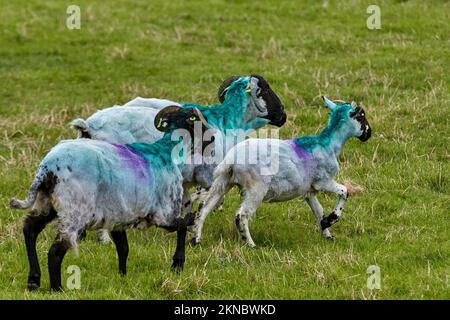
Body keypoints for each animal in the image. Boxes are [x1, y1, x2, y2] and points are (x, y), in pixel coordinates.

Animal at [8, 106, 209, 292]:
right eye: (197, 121)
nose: (211, 138)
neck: (166, 151)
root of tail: (47, 169)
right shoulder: (163, 214)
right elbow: (182, 225)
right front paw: (178, 264)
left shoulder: (118, 217)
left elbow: (123, 247)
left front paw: (123, 276)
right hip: (74, 211)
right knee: (55, 252)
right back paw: (56, 288)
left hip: (47, 203)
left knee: (30, 230)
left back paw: (33, 281)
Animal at [70, 76, 284, 244]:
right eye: (265, 89)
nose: (283, 114)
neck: (227, 123)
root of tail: (88, 126)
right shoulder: (209, 175)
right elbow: (210, 201)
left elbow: (187, 202)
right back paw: (104, 238)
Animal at [188, 96, 370, 246]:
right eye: (361, 116)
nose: (369, 133)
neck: (329, 145)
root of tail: (231, 159)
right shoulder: (323, 181)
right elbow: (344, 192)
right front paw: (332, 219)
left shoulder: (309, 190)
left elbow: (318, 210)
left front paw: (326, 231)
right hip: (256, 188)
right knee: (241, 215)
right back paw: (250, 244)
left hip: (223, 181)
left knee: (204, 208)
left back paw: (196, 239)